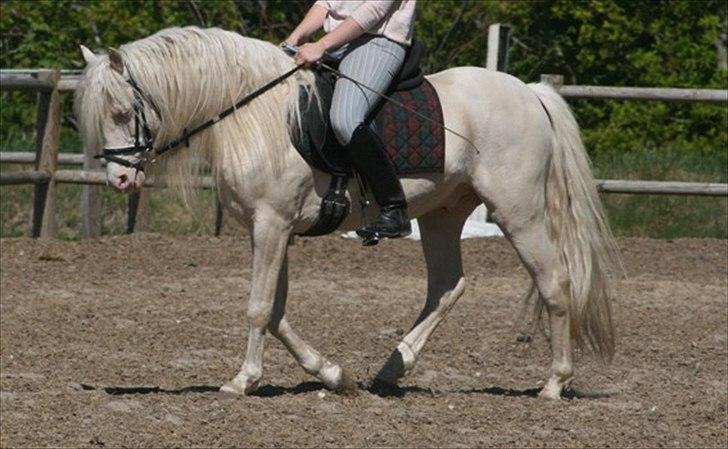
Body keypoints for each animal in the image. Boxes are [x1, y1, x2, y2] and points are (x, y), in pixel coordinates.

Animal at [75, 27, 620, 400]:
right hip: (443, 213)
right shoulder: (271, 229)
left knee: (554, 282)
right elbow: (276, 311)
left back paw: (554, 383)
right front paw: (334, 374)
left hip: (518, 211)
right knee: (448, 286)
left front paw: (243, 380)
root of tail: (530, 92)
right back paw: (390, 370)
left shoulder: (271, 224)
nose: (120, 180)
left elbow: (259, 307)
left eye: (122, 111)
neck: (254, 114)